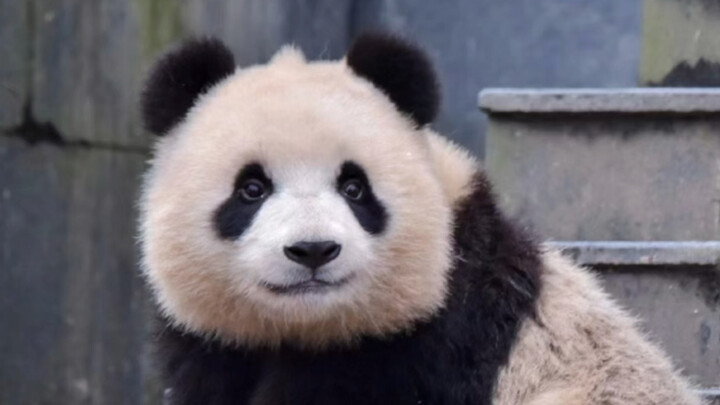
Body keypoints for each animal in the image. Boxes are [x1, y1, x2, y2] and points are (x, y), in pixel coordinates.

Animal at [139, 34, 702, 405]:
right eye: (251, 189)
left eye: (354, 187)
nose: (313, 251)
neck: (311, 328)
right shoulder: (216, 344)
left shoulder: (438, 339)